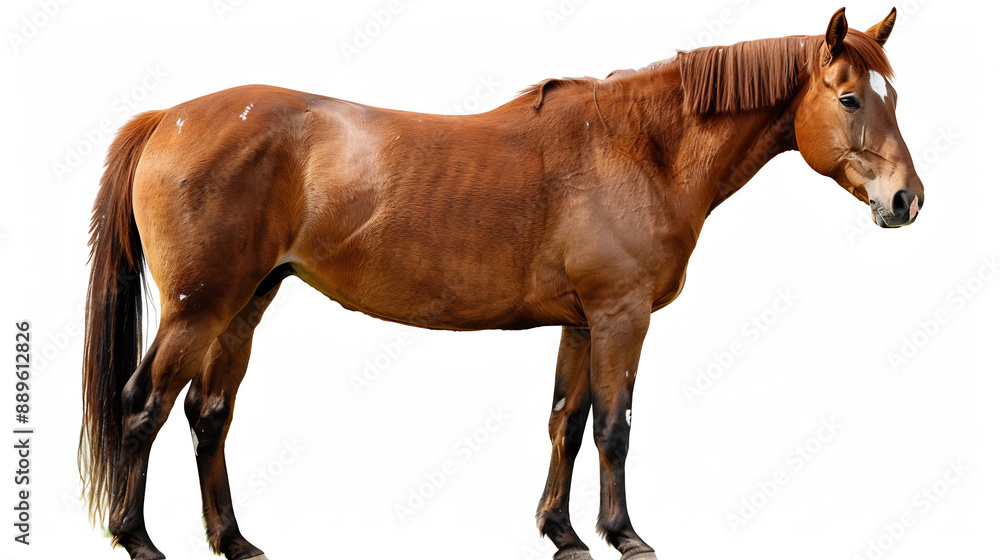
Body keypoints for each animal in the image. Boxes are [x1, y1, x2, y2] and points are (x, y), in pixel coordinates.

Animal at [80, 7, 922, 560]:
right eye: (850, 98)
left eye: (895, 98)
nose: (906, 201)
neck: (639, 148)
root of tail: (167, 118)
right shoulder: (621, 318)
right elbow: (614, 428)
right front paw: (625, 536)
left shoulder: (582, 322)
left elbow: (567, 423)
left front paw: (564, 534)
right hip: (198, 311)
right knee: (143, 405)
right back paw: (138, 540)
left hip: (245, 306)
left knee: (208, 414)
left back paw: (235, 541)